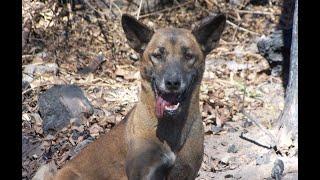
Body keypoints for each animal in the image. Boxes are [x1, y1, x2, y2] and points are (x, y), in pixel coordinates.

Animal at [32, 13, 226, 180]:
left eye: (188, 55)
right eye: (157, 55)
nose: (172, 82)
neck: (170, 127)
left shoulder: (185, 172)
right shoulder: (144, 173)